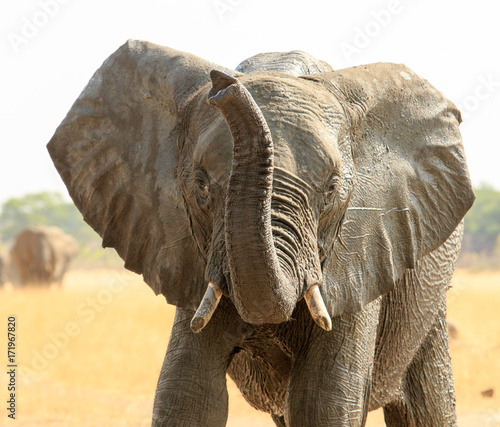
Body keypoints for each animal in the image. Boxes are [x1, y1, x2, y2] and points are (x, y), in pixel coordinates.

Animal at [46, 41, 472, 427]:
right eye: (201, 185)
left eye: (332, 189)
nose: (222, 85)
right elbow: (188, 394)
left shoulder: (361, 249)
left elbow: (324, 402)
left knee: (425, 405)